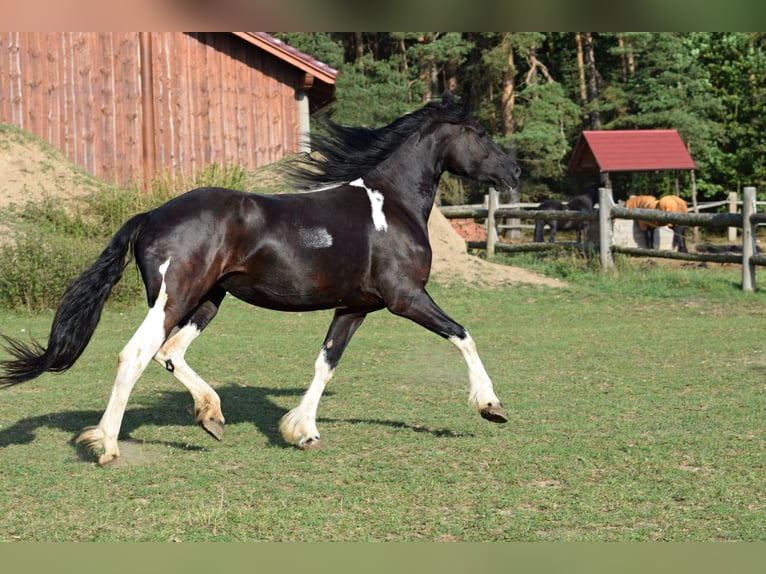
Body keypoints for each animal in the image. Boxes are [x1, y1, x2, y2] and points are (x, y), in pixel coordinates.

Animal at [0, 90, 520, 468]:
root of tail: (151, 215)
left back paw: (211, 416)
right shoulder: (406, 297)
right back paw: (106, 444)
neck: (390, 205)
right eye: (480, 133)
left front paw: (302, 430)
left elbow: (325, 363)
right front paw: (491, 406)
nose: (514, 171)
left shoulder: (354, 307)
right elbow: (463, 335)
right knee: (137, 353)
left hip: (208, 300)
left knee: (171, 353)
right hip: (175, 296)